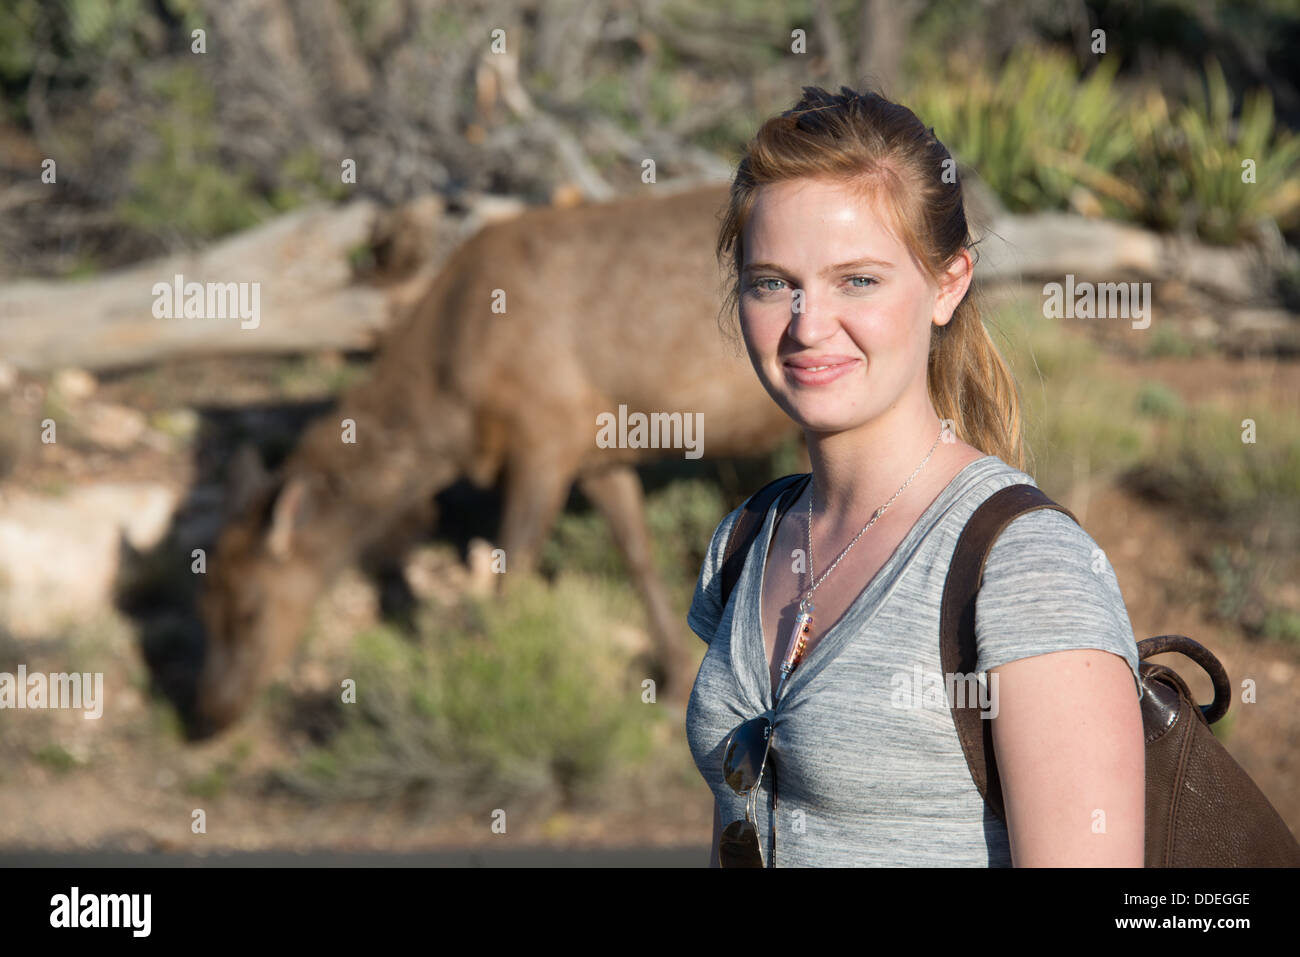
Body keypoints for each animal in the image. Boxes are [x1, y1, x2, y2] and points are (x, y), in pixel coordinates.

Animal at [192, 180, 800, 733]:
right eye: (207, 601)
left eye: (249, 609)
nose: (210, 712)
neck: (453, 415)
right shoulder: (596, 451)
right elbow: (637, 555)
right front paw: (672, 682)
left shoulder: (544, 435)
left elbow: (515, 569)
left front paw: (496, 689)